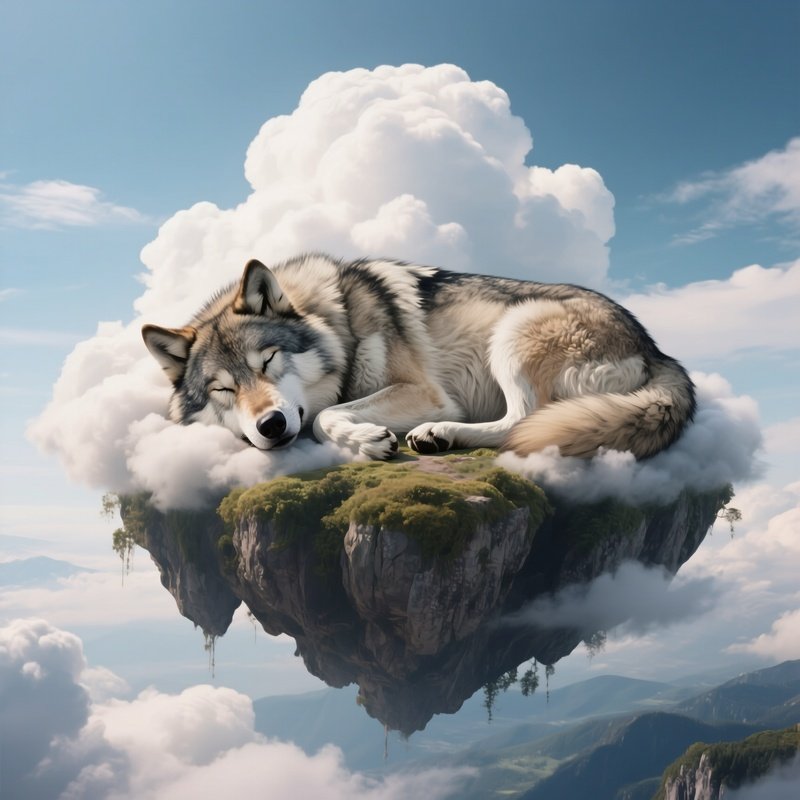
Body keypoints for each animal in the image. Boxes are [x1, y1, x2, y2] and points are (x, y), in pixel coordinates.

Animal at [142, 254, 695, 461]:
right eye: (223, 389)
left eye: (268, 360)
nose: (271, 425)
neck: (340, 320)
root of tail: (656, 349)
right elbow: (324, 414)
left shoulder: (425, 392)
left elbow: (324, 416)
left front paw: (366, 441)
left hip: (513, 332)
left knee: (521, 423)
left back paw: (439, 433)